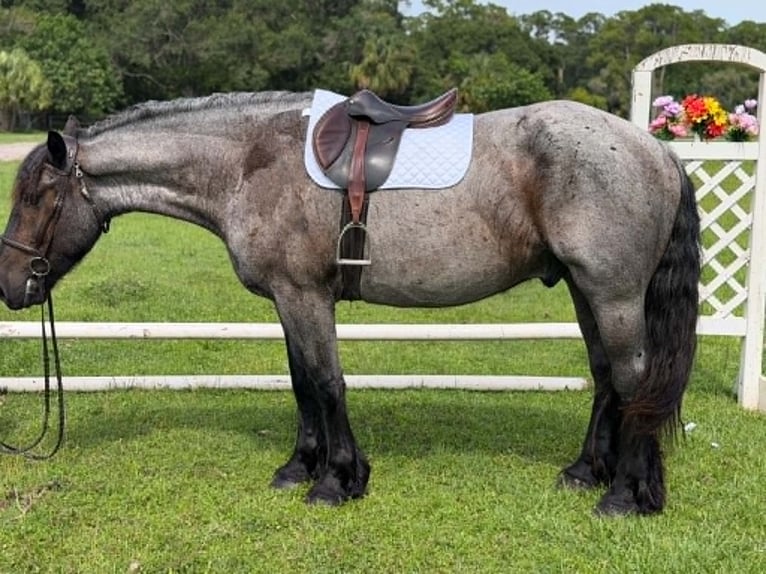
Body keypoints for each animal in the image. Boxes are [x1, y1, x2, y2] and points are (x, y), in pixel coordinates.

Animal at [0, 91, 700, 516]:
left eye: (37, 196)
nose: (11, 286)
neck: (251, 162)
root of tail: (657, 149)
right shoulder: (287, 299)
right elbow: (302, 383)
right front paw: (299, 467)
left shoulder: (305, 296)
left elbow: (327, 382)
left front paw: (337, 480)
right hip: (586, 290)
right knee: (607, 378)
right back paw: (586, 472)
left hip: (612, 294)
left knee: (633, 380)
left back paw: (624, 495)